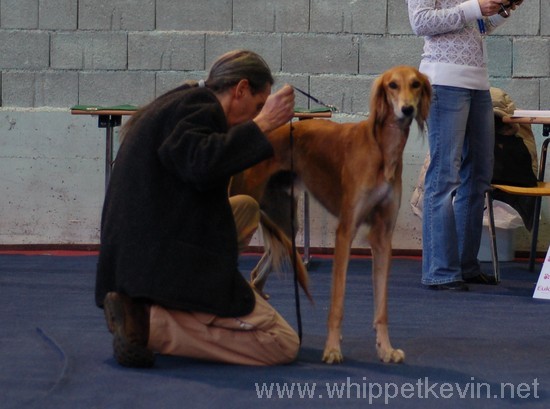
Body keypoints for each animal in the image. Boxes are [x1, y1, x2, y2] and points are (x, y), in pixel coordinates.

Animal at [231, 66, 434, 364]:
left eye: (416, 84)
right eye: (393, 85)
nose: (407, 110)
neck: (381, 149)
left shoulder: (383, 236)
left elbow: (382, 306)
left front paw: (385, 349)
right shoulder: (345, 230)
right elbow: (337, 302)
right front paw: (332, 349)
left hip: (287, 223)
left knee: (257, 276)